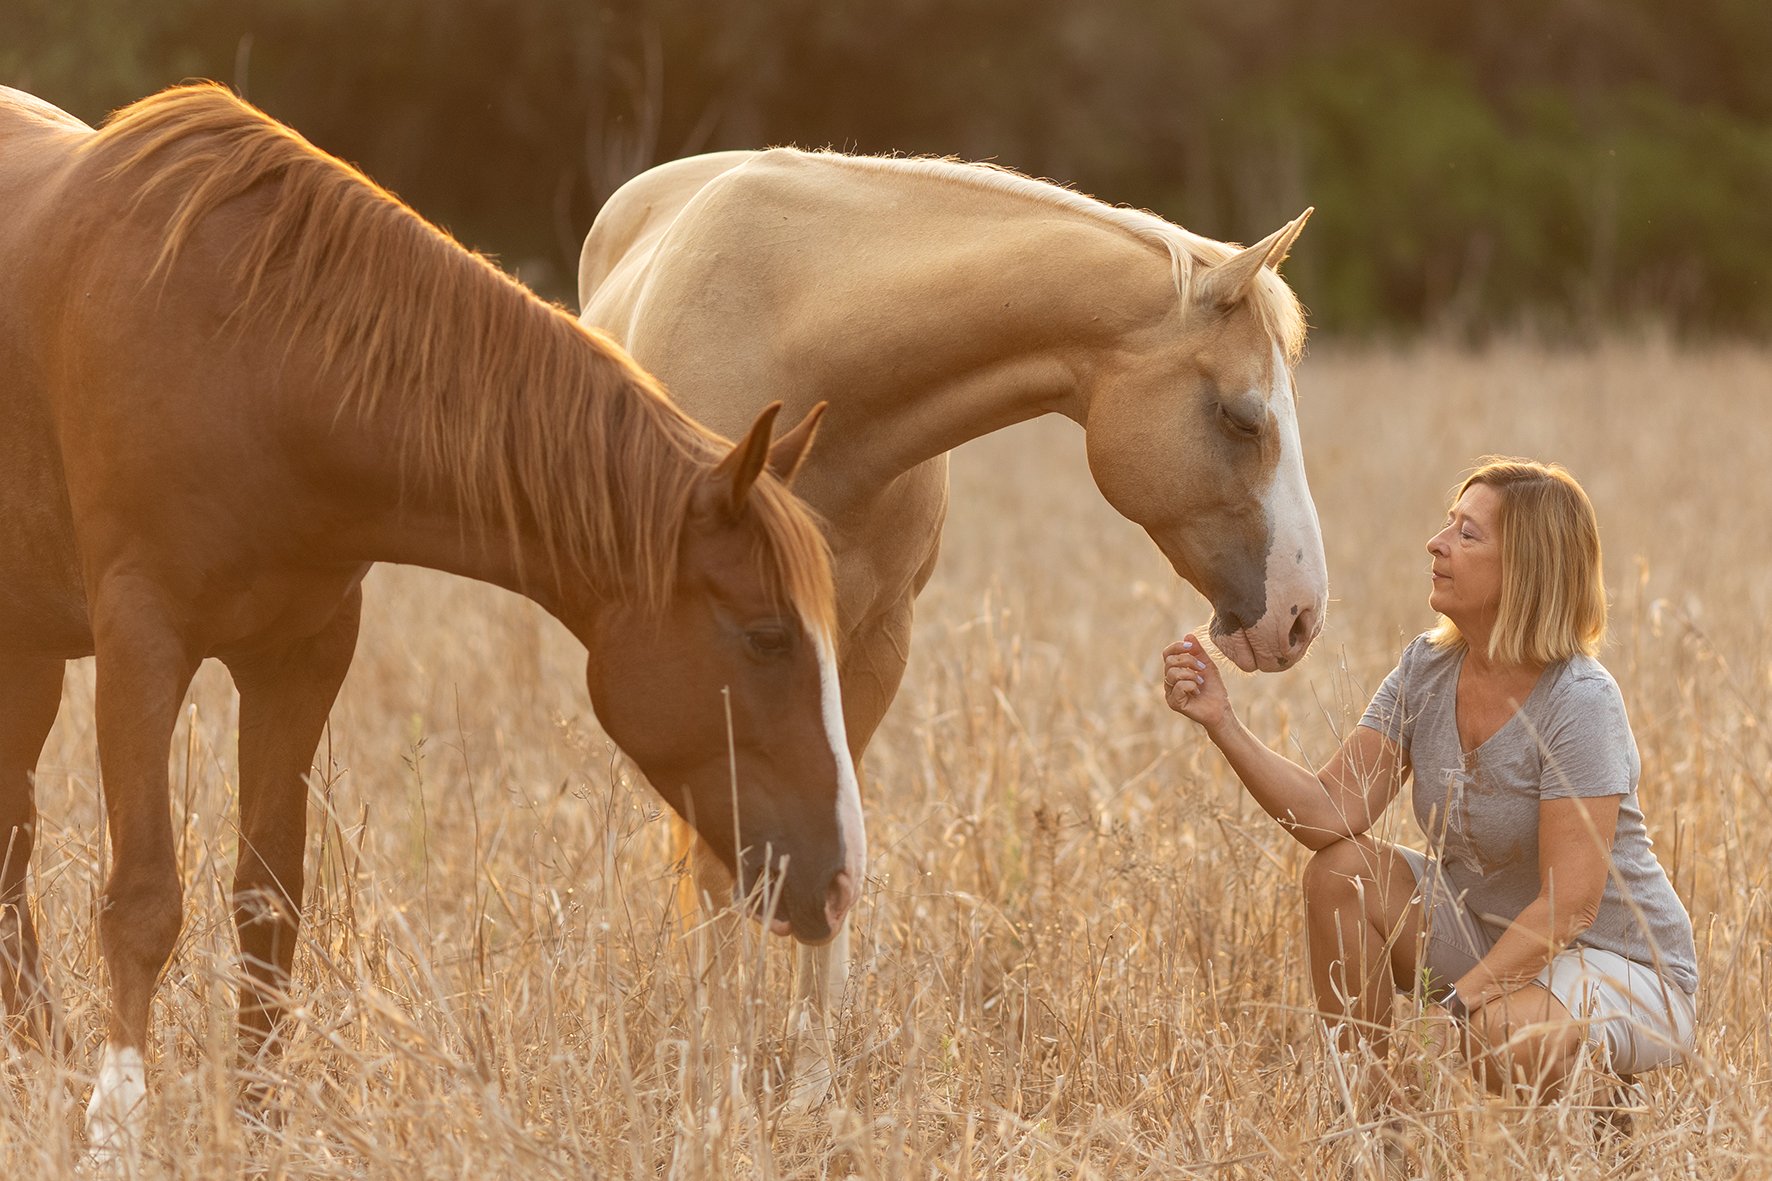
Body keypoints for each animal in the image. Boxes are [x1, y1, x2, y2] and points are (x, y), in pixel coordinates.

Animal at [0, 87, 863, 1159]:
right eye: (767, 636)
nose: (838, 883)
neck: (249, 352)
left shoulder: (302, 656)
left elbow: (267, 903)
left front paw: (260, 1122)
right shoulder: (141, 645)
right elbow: (145, 901)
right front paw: (114, 1126)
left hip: (30, 650)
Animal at [578, 147, 1328, 1100]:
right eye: (1241, 415)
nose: (1300, 613)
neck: (807, 353)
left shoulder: (872, 648)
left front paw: (811, 1085)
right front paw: (722, 1077)